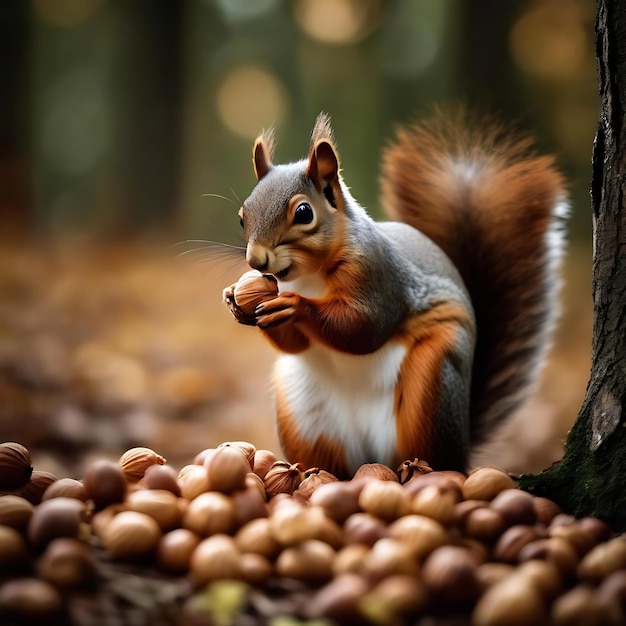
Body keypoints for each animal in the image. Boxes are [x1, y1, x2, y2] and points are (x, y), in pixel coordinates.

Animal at [221, 108, 564, 478]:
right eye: (242, 217)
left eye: (303, 212)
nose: (256, 261)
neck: (309, 276)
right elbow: (296, 344)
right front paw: (235, 300)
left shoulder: (380, 277)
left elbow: (363, 328)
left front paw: (296, 307)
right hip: (305, 414)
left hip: (432, 387)